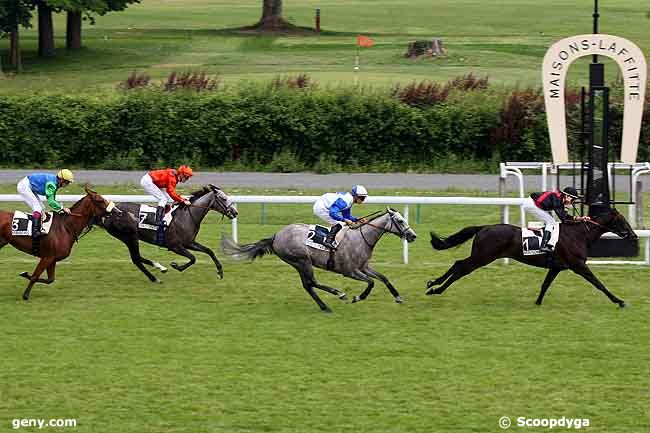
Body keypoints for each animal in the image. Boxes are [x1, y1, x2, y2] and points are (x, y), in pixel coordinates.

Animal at [98, 183, 235, 282]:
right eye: (224, 198)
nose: (235, 212)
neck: (187, 216)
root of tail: (108, 213)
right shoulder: (175, 246)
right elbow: (193, 258)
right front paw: (176, 266)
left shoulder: (189, 243)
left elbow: (209, 251)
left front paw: (220, 272)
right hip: (129, 237)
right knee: (136, 259)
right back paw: (155, 277)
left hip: (128, 238)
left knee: (137, 258)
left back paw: (159, 269)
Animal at [221, 208, 416, 312]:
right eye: (400, 221)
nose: (413, 236)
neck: (361, 238)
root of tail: (276, 236)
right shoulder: (350, 271)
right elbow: (371, 283)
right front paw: (358, 297)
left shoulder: (364, 267)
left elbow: (384, 278)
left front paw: (398, 297)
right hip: (302, 261)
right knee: (311, 283)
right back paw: (338, 294)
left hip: (298, 263)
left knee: (308, 285)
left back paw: (325, 306)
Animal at [426, 207, 636, 306]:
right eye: (623, 221)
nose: (633, 235)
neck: (579, 234)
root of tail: (483, 227)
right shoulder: (578, 265)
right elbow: (599, 284)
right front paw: (619, 301)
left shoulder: (556, 267)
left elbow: (545, 285)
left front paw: (538, 302)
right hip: (482, 257)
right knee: (460, 267)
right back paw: (436, 289)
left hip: (481, 256)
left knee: (458, 264)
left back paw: (432, 285)